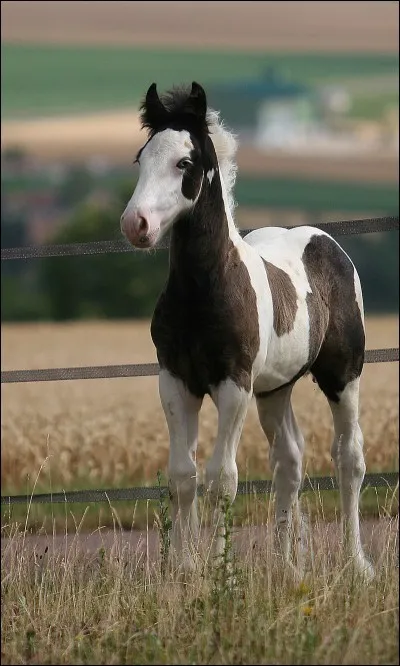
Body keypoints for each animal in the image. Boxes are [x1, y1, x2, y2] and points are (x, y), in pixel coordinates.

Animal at [120, 81, 373, 580]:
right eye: (142, 158)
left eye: (185, 162)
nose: (135, 225)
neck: (205, 290)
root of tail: (329, 243)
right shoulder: (175, 381)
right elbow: (183, 474)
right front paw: (185, 568)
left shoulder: (233, 384)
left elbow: (223, 477)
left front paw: (221, 569)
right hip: (275, 390)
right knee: (289, 461)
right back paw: (286, 567)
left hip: (342, 375)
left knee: (349, 457)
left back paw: (357, 563)